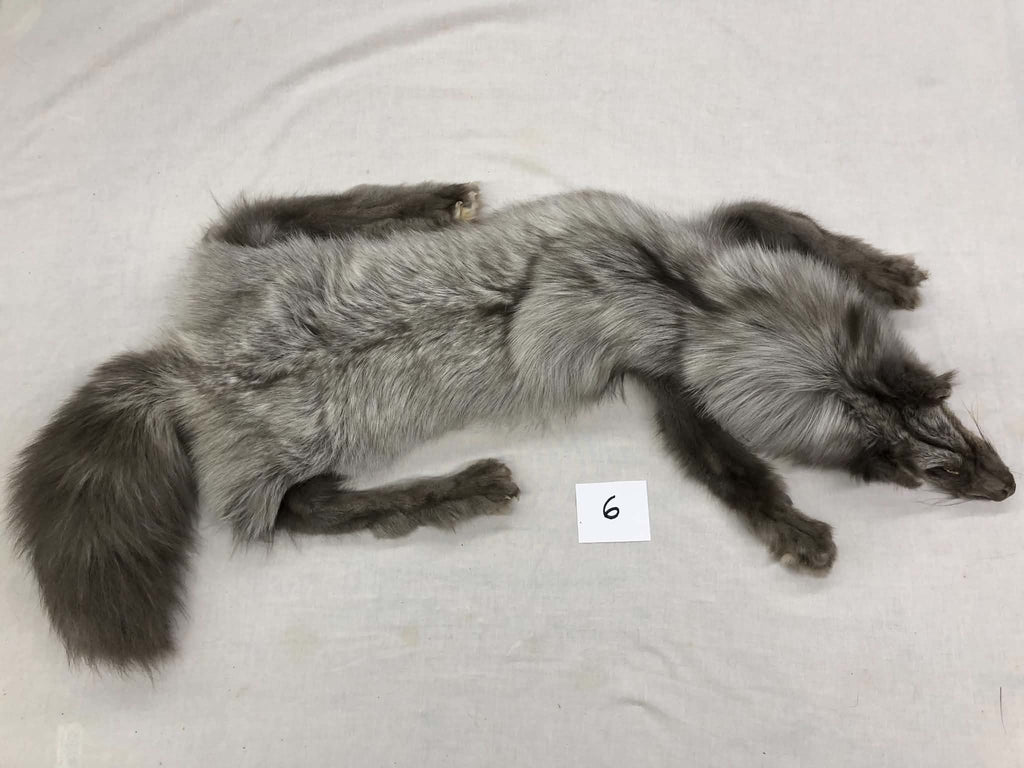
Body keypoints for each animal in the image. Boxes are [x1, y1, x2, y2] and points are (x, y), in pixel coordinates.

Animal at [6, 182, 1015, 671]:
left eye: (945, 420)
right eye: (911, 469)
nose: (1006, 487)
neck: (681, 298)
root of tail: (191, 369)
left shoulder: (708, 258)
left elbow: (787, 217)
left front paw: (881, 273)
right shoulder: (675, 379)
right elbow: (736, 472)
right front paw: (796, 530)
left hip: (251, 266)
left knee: (256, 215)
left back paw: (433, 200)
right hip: (285, 460)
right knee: (309, 511)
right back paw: (460, 485)